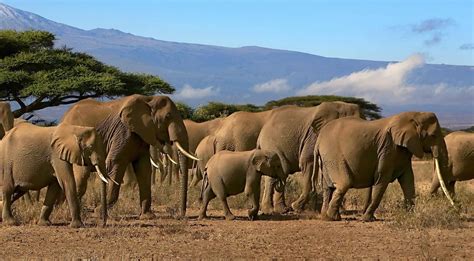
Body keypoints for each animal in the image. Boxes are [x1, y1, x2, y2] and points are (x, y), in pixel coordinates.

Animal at [60, 94, 194, 218]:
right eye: (167, 116)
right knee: (81, 176)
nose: (181, 215)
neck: (148, 99)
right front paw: (99, 212)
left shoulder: (141, 135)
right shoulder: (123, 132)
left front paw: (147, 216)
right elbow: (115, 163)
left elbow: (144, 169)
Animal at [314, 110, 456, 220]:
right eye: (433, 136)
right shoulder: (388, 148)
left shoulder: (403, 150)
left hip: (327, 159)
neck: (413, 115)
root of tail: (319, 140)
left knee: (328, 188)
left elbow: (408, 180)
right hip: (333, 155)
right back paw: (332, 217)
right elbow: (382, 180)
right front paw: (367, 219)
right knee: (344, 184)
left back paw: (326, 217)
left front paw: (409, 216)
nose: (456, 208)